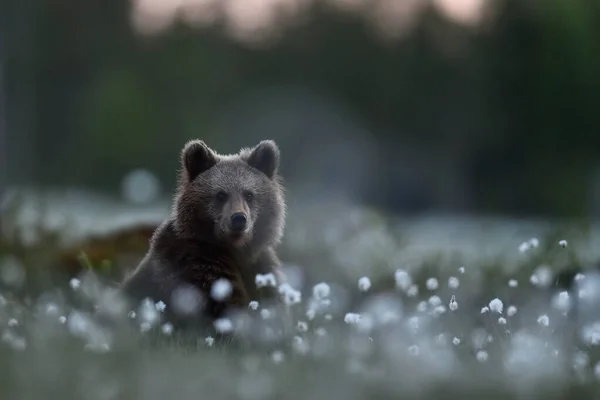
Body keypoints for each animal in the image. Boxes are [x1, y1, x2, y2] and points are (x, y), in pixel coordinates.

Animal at [120, 139, 288, 336]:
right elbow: (226, 307)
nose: (239, 218)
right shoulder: (199, 263)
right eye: (221, 194)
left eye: (249, 194)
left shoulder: (259, 265)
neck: (236, 249)